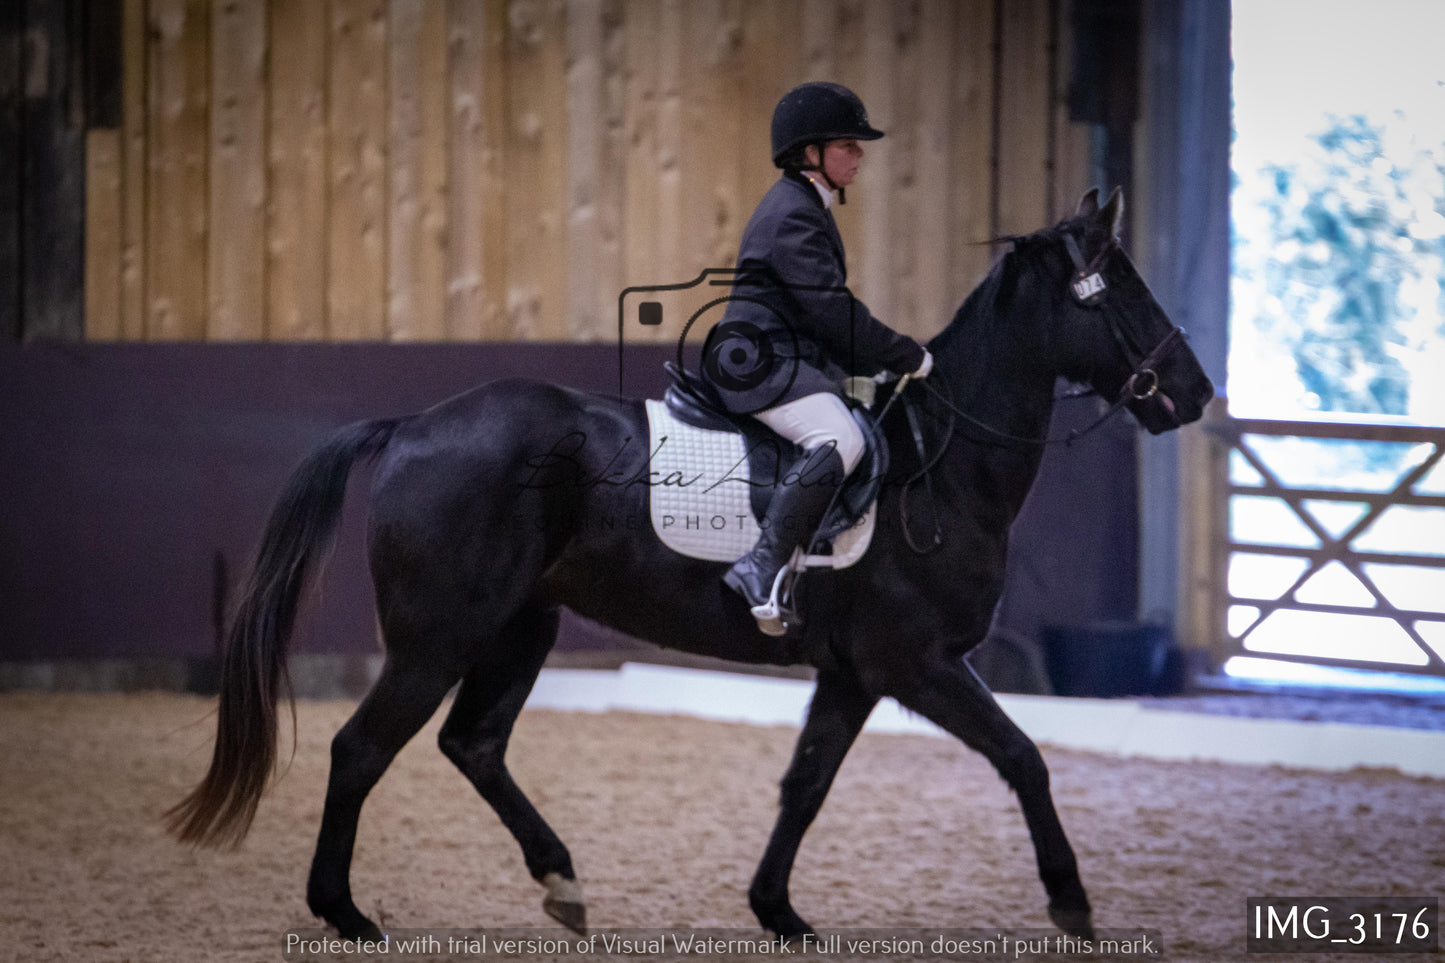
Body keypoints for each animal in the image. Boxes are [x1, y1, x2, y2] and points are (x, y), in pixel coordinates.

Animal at [171, 187, 1219, 936]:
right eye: (1125, 291)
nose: (1196, 391)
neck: (943, 460)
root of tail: (412, 427)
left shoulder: (852, 672)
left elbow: (805, 784)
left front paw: (777, 910)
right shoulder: (917, 663)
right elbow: (1023, 756)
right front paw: (1070, 901)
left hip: (520, 623)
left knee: (473, 744)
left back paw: (562, 881)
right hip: (438, 637)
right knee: (362, 748)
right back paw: (343, 911)